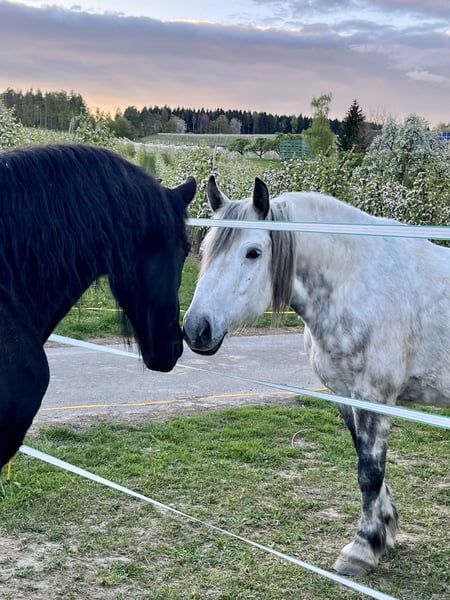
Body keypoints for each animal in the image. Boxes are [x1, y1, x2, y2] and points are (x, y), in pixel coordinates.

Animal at [183, 175, 450, 576]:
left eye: (253, 252)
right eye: (208, 248)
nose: (196, 329)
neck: (358, 280)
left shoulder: (375, 397)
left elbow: (370, 471)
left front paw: (361, 549)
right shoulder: (345, 394)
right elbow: (366, 462)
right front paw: (384, 532)